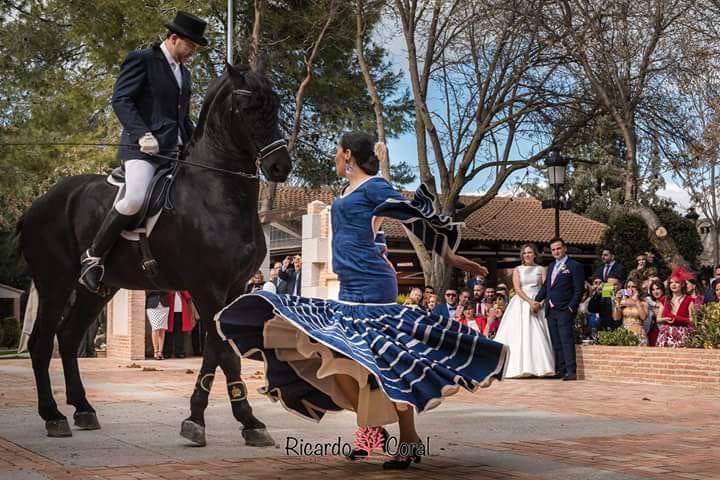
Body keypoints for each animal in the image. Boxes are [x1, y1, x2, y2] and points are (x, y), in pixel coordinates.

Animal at [14, 63, 290, 446]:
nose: (281, 166)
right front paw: (241, 422)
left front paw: (205, 419)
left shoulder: (232, 289)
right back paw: (53, 416)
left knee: (68, 337)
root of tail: (37, 205)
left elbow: (216, 352)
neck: (217, 192)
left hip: (97, 290)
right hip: (55, 283)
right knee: (42, 343)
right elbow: (224, 354)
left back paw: (83, 409)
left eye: (275, 107)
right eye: (249, 109)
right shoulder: (206, 288)